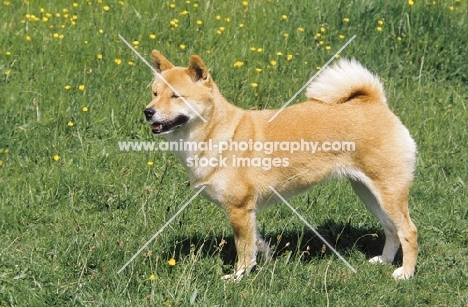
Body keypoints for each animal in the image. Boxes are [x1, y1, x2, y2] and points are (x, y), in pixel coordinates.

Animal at [144, 51, 418, 282]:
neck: (217, 134)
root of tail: (374, 102)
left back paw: (405, 273)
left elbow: (243, 249)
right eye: (155, 93)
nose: (148, 111)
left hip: (388, 192)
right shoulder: (247, 212)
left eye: (176, 96)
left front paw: (238, 277)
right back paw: (384, 261)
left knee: (408, 231)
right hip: (367, 192)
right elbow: (255, 242)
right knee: (391, 230)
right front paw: (265, 260)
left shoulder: (239, 208)